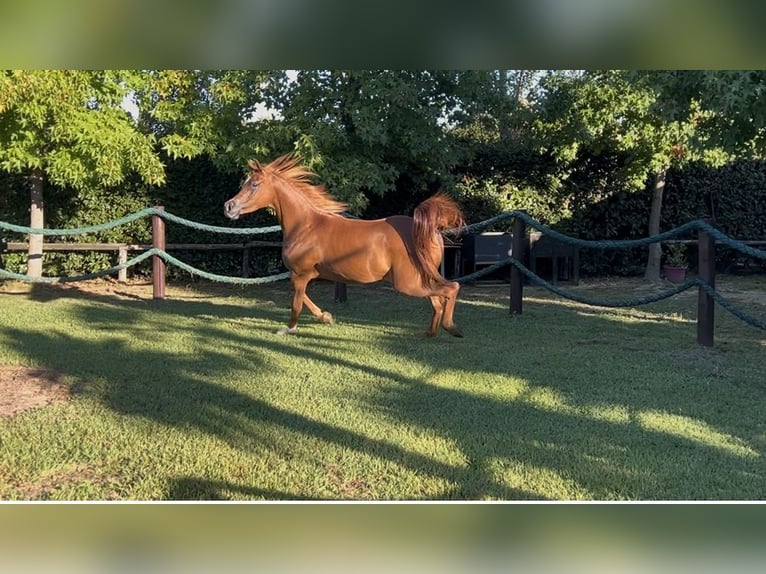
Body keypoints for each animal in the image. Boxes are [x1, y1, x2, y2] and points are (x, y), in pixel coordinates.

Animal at [224, 154, 465, 337]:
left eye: (254, 184)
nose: (229, 206)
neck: (306, 226)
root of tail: (429, 230)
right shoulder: (306, 274)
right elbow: (304, 299)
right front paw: (326, 317)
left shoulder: (301, 274)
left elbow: (296, 303)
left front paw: (288, 329)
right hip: (419, 278)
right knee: (438, 300)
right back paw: (429, 334)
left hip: (407, 282)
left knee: (451, 289)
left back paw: (452, 328)